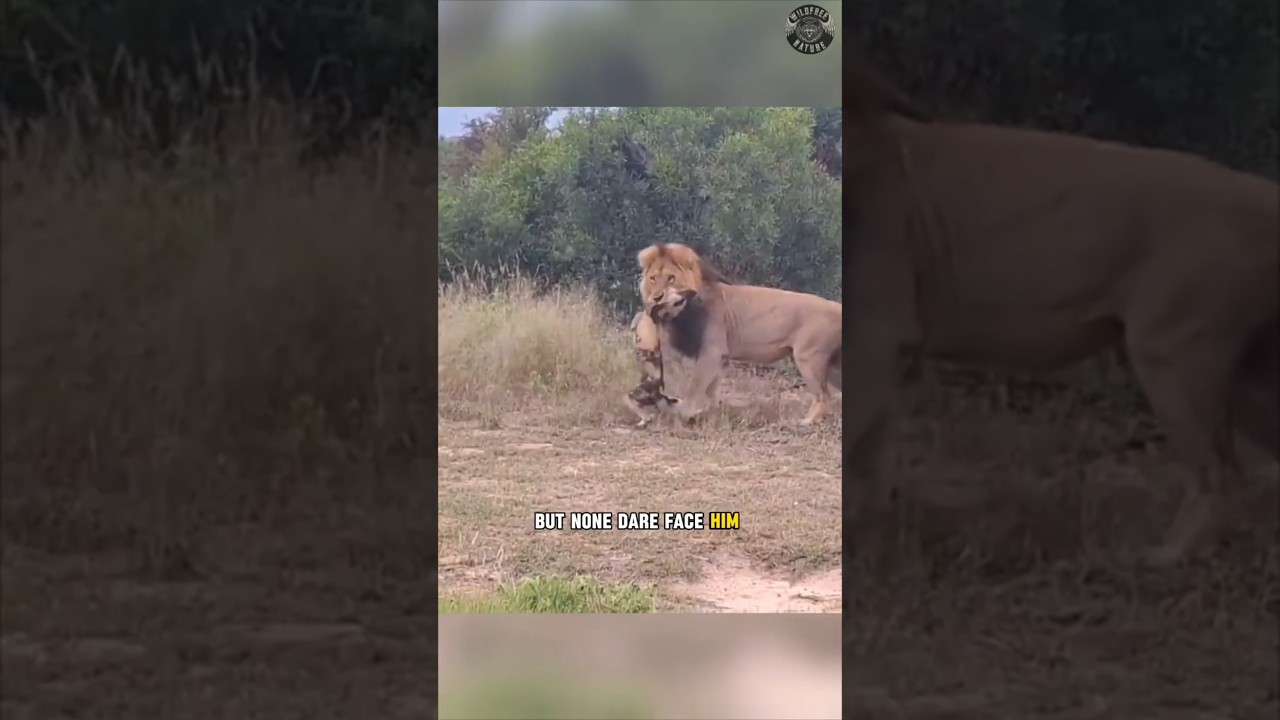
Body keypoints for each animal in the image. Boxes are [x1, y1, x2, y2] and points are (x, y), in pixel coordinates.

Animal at [638, 242, 842, 426]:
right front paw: (711, 414)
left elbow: (695, 386)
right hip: (831, 366)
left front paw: (686, 413)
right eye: (653, 279)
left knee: (823, 396)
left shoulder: (712, 352)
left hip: (808, 358)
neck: (684, 308)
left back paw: (806, 422)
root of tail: (837, 307)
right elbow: (712, 389)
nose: (657, 297)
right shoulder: (717, 357)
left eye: (671, 278)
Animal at [844, 56, 1279, 566]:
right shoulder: (887, 349)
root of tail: (1264, 192)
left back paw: (1163, 558)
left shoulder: (875, 334)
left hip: (1174, 355)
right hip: (1247, 379)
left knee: (1219, 472)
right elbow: (871, 460)